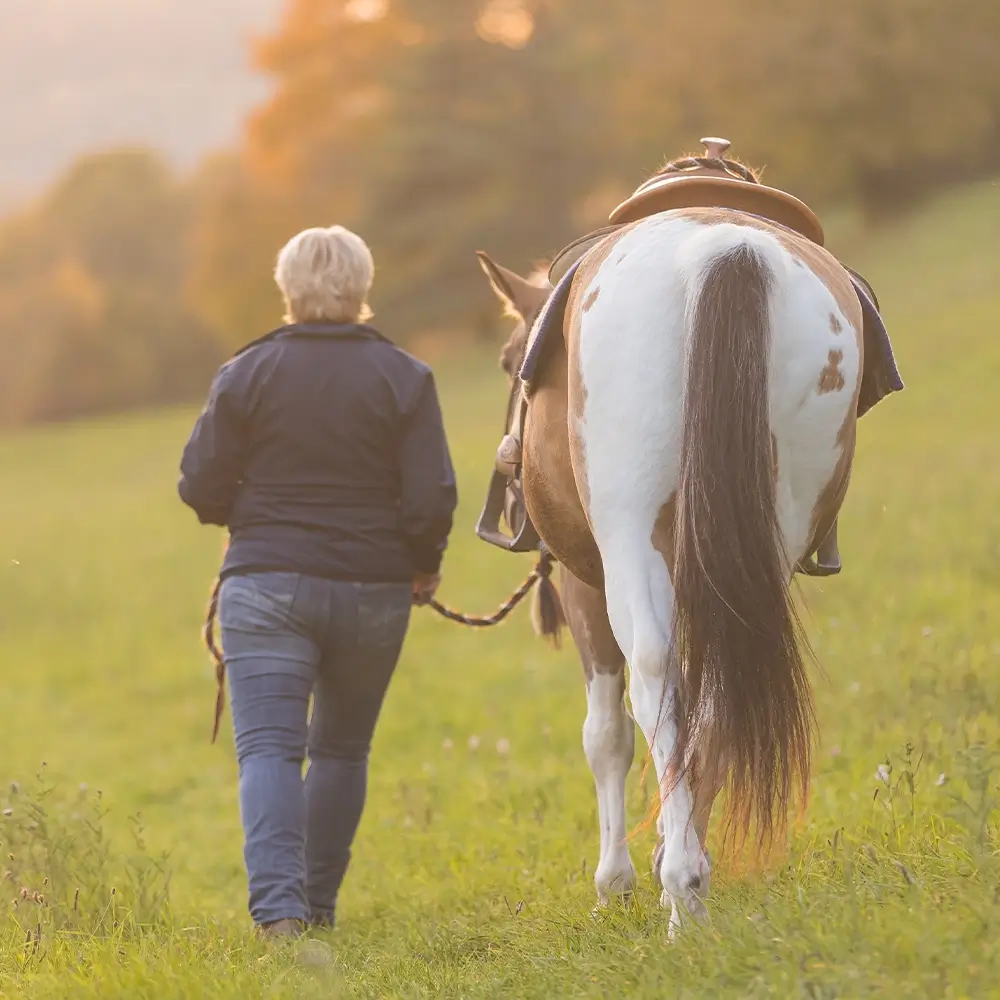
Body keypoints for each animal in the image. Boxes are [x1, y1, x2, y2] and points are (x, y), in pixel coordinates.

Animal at [473, 140, 897, 931]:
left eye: (512, 363)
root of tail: (721, 250)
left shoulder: (586, 584)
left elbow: (607, 734)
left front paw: (616, 880)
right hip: (764, 537)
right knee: (721, 688)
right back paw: (689, 879)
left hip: (626, 545)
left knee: (654, 680)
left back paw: (679, 888)